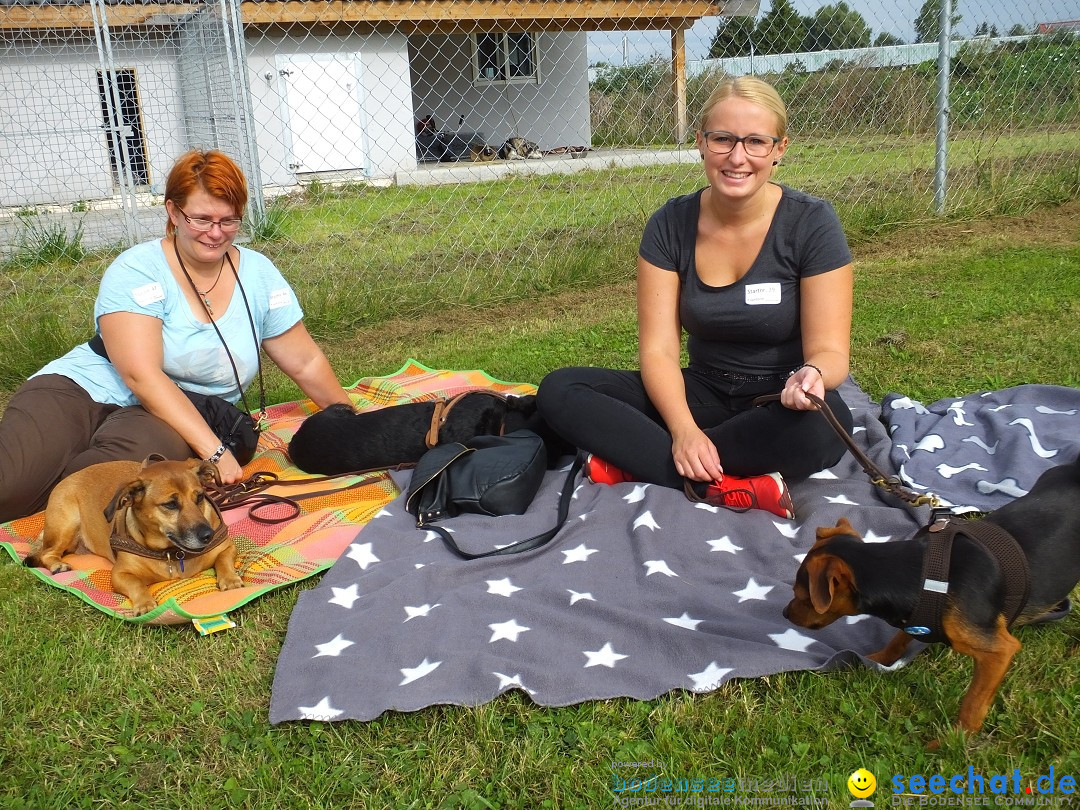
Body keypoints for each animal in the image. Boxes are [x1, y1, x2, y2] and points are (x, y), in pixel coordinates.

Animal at [24, 457, 244, 613]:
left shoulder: (227, 546)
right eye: (170, 504)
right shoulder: (119, 574)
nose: (208, 535)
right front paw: (145, 603)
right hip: (66, 524)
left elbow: (223, 559)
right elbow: (136, 583)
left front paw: (230, 579)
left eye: (199, 497)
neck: (172, 553)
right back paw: (57, 565)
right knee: (47, 552)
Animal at [786, 457, 1080, 743]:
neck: (920, 574)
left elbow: (973, 703)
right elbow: (900, 638)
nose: (785, 614)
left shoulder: (999, 651)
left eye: (802, 595)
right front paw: (878, 659)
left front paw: (954, 742)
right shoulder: (918, 612)